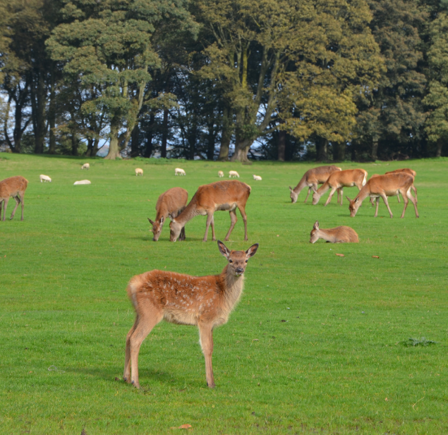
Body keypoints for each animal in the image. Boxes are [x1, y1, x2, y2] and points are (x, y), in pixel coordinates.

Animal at [123, 240, 260, 390]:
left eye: (246, 260)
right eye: (230, 260)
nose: (239, 270)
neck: (223, 294)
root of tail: (132, 284)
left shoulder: (211, 323)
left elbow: (211, 346)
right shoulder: (205, 317)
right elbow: (207, 348)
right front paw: (210, 382)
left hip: (139, 313)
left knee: (128, 335)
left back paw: (125, 377)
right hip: (150, 311)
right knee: (136, 338)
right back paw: (136, 382)